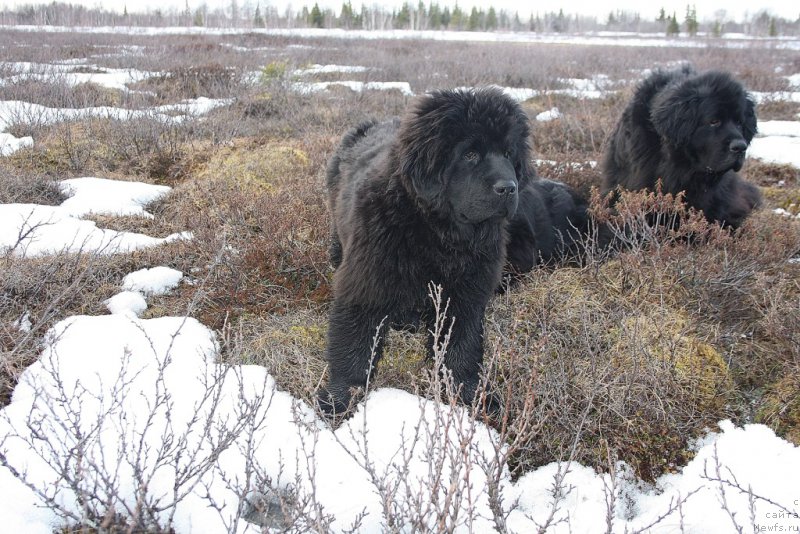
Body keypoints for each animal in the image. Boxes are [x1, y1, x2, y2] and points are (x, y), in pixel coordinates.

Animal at [318, 88, 532, 416]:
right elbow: (354, 344)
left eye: (509, 154)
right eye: (470, 154)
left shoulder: (466, 294)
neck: (437, 234)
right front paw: (339, 401)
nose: (508, 188)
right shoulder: (366, 282)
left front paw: (471, 398)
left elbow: (461, 349)